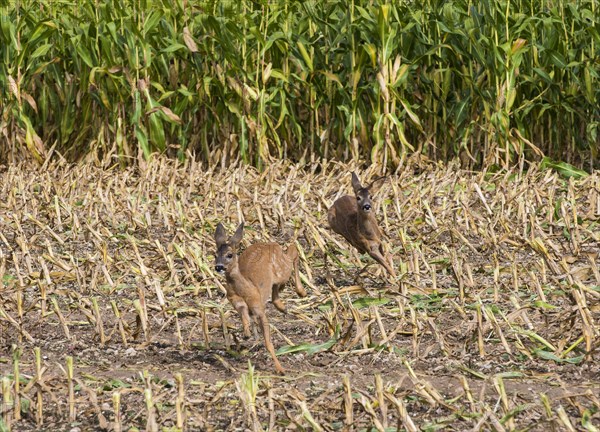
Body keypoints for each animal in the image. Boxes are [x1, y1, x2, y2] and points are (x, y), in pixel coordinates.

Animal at [214, 221, 308, 372]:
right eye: (215, 254)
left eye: (229, 254)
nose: (219, 266)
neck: (246, 288)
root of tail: (272, 244)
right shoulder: (236, 301)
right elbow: (244, 314)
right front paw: (247, 333)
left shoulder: (259, 309)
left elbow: (268, 343)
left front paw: (280, 370)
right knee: (275, 287)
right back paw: (283, 307)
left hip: (282, 269)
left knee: (293, 251)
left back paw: (302, 292)